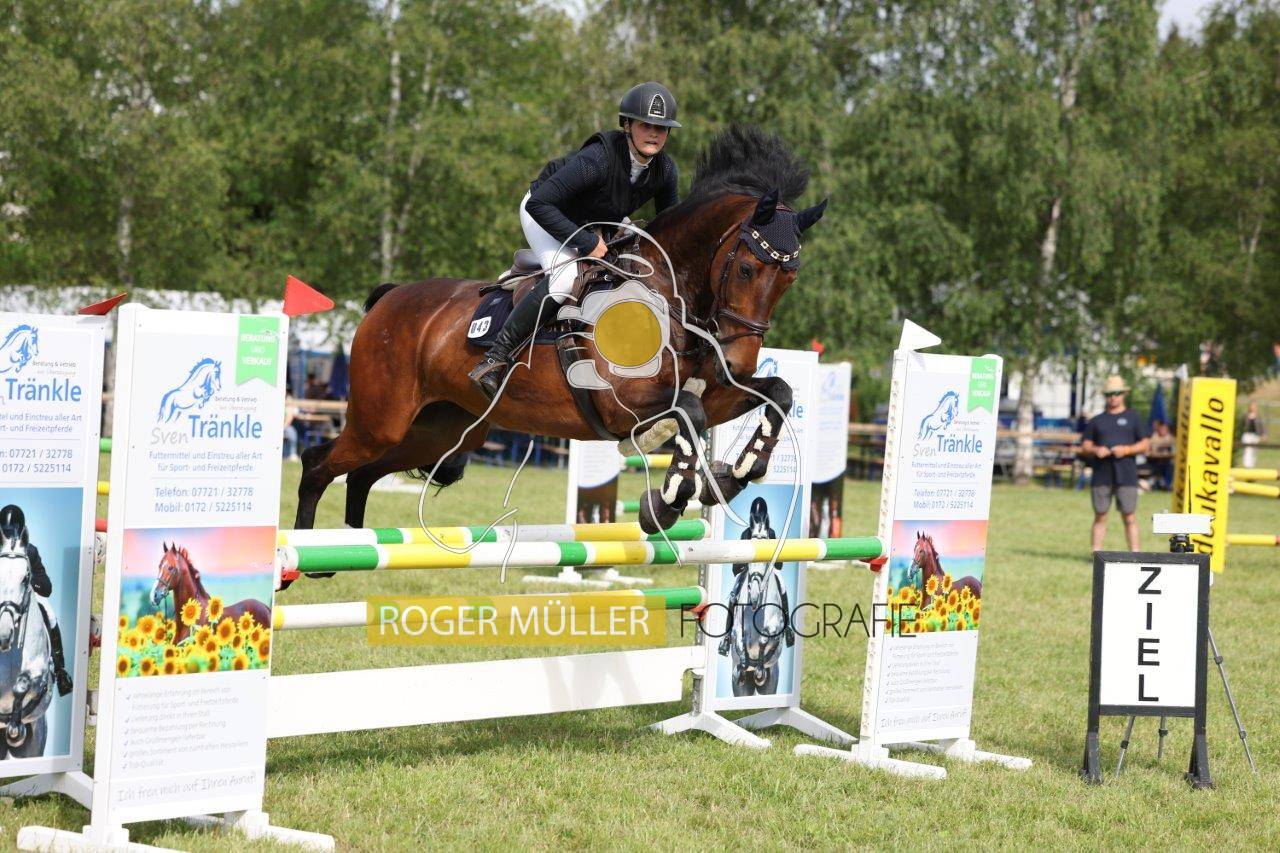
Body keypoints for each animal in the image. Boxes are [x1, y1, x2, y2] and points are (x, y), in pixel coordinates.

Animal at [293, 125, 828, 542]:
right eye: (746, 269)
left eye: (789, 279)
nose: (738, 360)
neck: (665, 295)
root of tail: (388, 300)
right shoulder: (621, 404)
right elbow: (689, 414)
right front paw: (667, 501)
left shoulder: (713, 393)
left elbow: (776, 393)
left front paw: (736, 475)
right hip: (381, 420)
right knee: (317, 461)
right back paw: (300, 558)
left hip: (439, 429)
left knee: (362, 473)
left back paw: (340, 553)